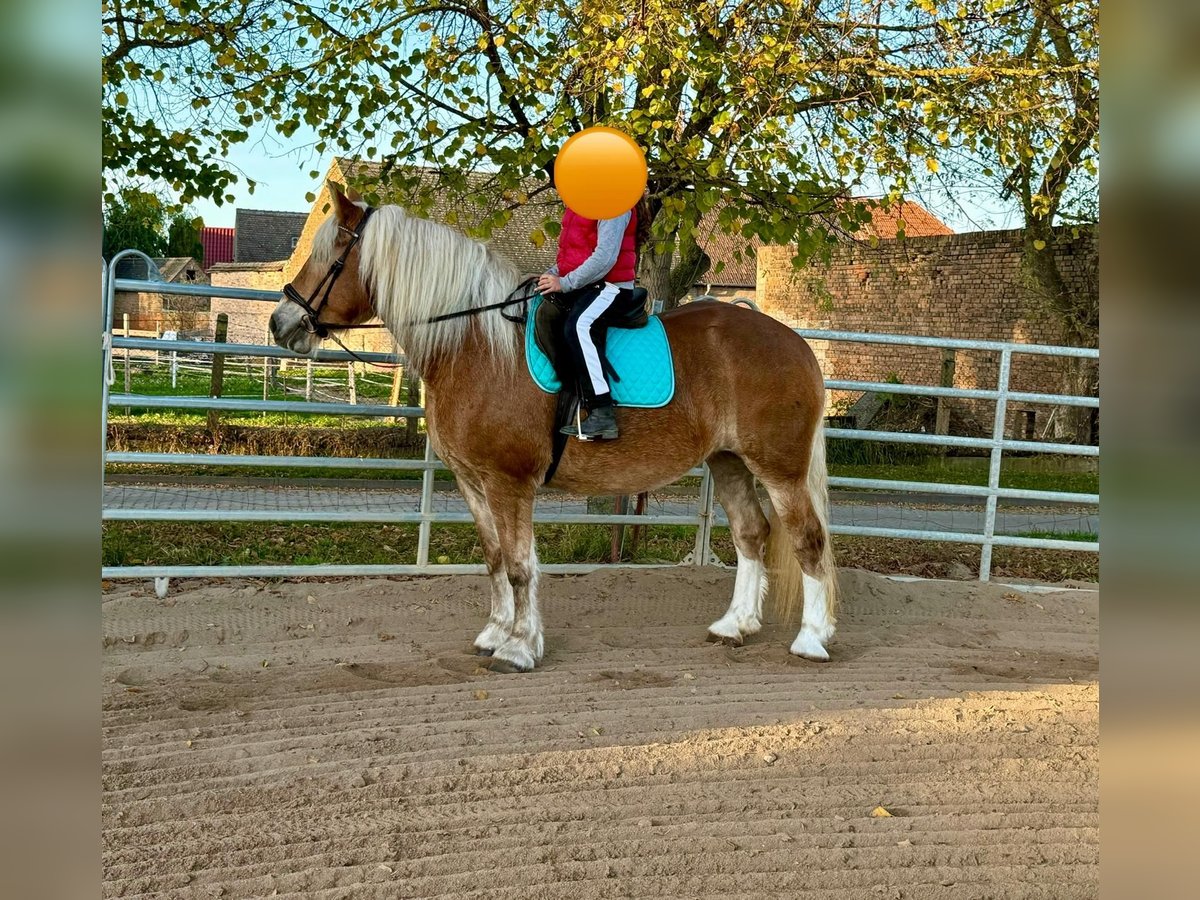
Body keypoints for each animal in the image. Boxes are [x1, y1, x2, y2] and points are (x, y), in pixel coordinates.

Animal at [270, 187, 835, 672]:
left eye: (331, 256)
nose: (280, 323)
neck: (474, 345)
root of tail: (795, 343)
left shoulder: (509, 482)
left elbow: (521, 566)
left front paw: (519, 648)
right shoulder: (473, 482)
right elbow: (496, 559)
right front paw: (496, 633)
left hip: (780, 469)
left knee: (808, 540)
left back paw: (811, 639)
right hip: (729, 461)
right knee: (751, 534)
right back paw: (735, 626)